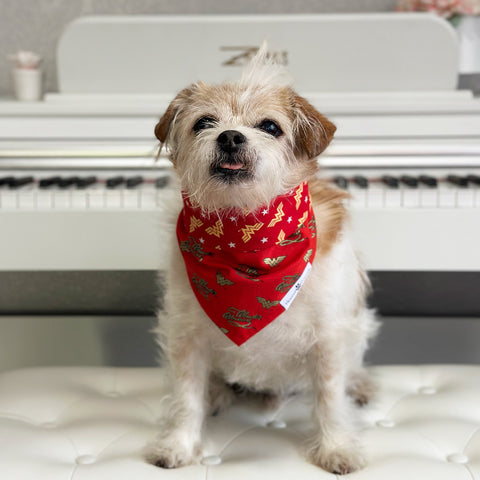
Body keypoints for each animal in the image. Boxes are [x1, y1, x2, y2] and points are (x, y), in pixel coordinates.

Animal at [146, 47, 378, 474]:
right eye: (204, 122)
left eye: (270, 127)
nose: (230, 136)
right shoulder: (186, 335)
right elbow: (186, 396)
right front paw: (179, 444)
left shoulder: (328, 338)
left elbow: (330, 399)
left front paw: (336, 447)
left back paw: (360, 384)